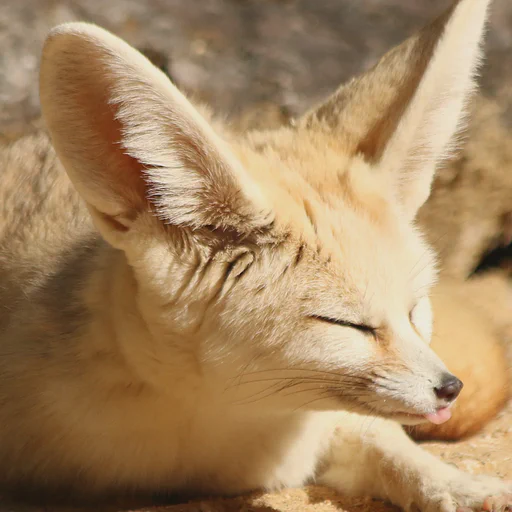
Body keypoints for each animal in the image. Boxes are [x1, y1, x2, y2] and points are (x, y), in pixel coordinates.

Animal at [1, 0, 512, 510]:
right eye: (346, 324)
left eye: (414, 310)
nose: (450, 388)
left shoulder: (328, 429)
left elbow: (392, 448)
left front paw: (459, 486)